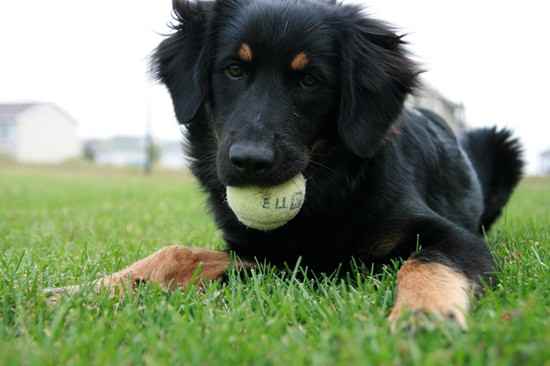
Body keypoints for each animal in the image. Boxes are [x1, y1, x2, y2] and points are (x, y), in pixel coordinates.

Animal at [48, 0, 528, 328]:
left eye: (310, 79)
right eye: (234, 70)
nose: (249, 162)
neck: (327, 192)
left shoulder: (454, 238)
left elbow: (426, 264)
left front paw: (423, 317)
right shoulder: (266, 255)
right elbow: (177, 254)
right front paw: (85, 291)